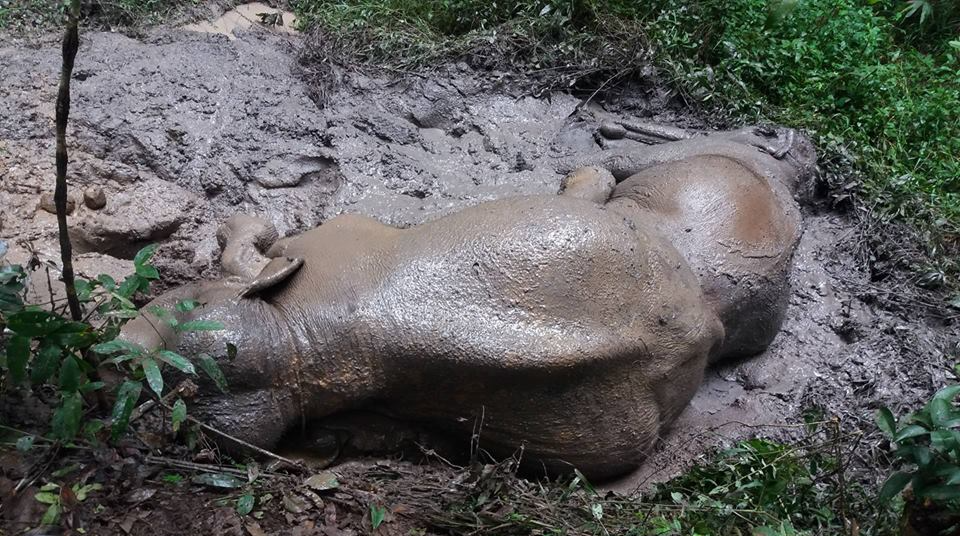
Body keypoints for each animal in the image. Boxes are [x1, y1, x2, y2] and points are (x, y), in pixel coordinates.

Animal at [116, 123, 812, 480]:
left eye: (176, 307)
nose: (114, 348)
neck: (302, 342)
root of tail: (700, 312)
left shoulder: (336, 237)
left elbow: (254, 247)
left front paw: (242, 228)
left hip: (706, 181)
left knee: (634, 166)